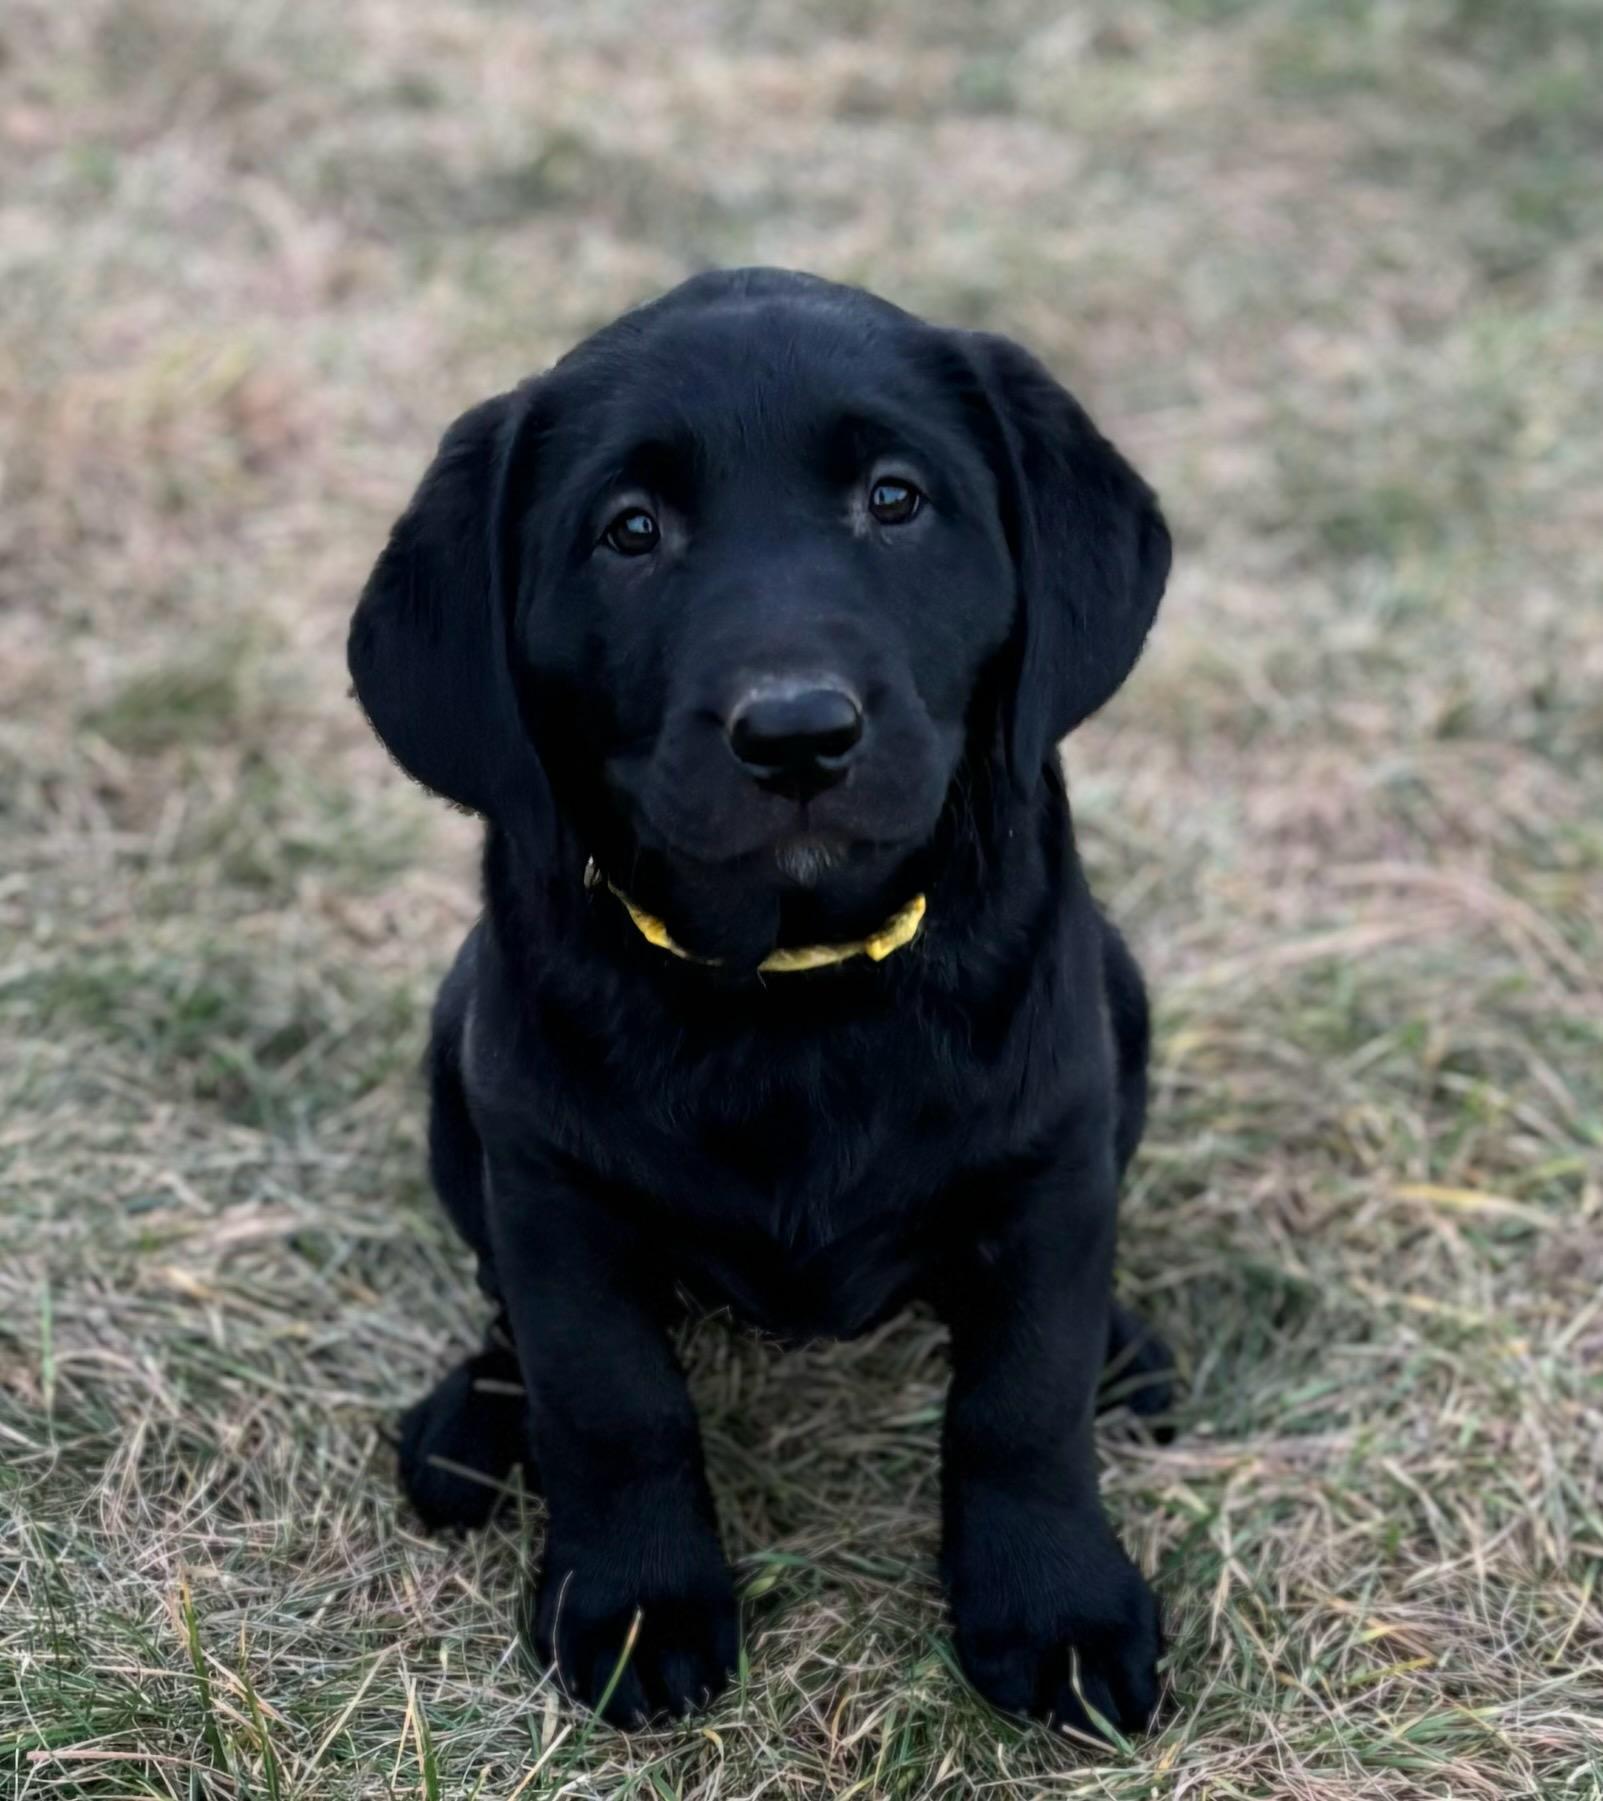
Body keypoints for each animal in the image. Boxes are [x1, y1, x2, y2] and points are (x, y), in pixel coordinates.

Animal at [349, 266, 1167, 1728]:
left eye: (894, 499)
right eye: (628, 531)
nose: (795, 735)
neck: (792, 994)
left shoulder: (1052, 1160)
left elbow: (1022, 1398)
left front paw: (1055, 1606)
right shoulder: (552, 1188)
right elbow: (609, 1397)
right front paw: (635, 1602)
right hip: (463, 1058)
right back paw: (474, 1423)